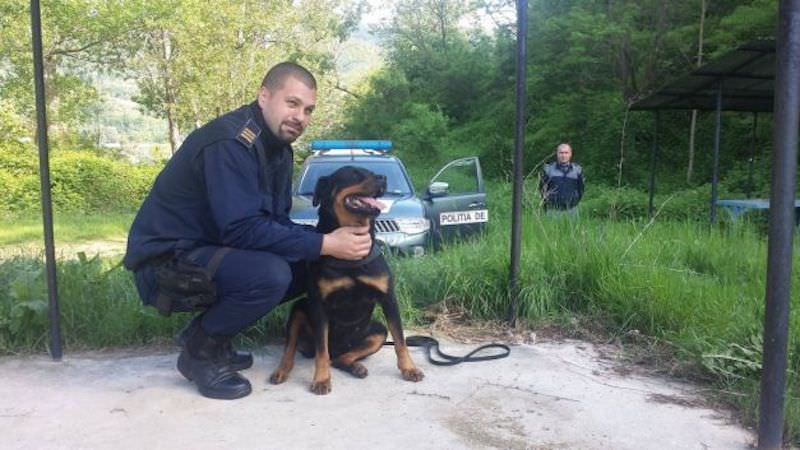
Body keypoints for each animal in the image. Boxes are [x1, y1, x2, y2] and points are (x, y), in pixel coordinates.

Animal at [270, 165, 424, 394]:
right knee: (293, 349)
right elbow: (321, 350)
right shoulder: (319, 306)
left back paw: (355, 367)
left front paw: (409, 369)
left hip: (377, 331)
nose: (383, 178)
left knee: (341, 357)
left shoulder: (388, 299)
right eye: (353, 174)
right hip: (299, 310)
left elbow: (400, 340)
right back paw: (282, 370)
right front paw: (321, 380)